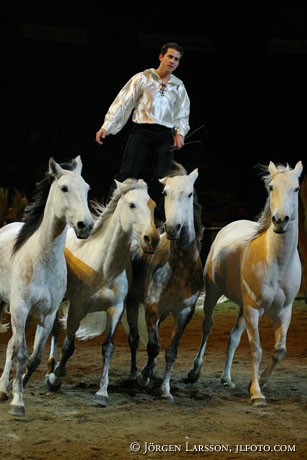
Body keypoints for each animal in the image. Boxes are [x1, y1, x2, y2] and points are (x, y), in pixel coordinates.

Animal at [0, 155, 94, 416]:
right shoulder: (20, 309)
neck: (42, 260)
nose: (85, 225)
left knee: (11, 344)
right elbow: (22, 353)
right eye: (64, 188)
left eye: (86, 189)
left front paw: (18, 387)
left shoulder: (47, 314)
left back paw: (3, 388)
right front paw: (17, 403)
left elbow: (34, 358)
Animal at [46, 176, 160, 406]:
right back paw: (50, 366)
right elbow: (68, 345)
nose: (151, 239)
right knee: (53, 329)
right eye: (131, 205)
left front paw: (102, 392)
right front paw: (55, 378)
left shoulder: (115, 309)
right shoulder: (77, 309)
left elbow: (108, 348)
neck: (104, 266)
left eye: (153, 205)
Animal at [188, 160, 304, 404]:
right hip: (213, 293)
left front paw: (258, 382)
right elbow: (256, 349)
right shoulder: (253, 310)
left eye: (296, 188)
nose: (280, 220)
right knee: (207, 326)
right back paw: (194, 372)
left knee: (232, 337)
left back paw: (226, 379)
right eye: (271, 188)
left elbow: (279, 351)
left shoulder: (284, 311)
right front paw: (257, 394)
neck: (277, 263)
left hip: (242, 306)